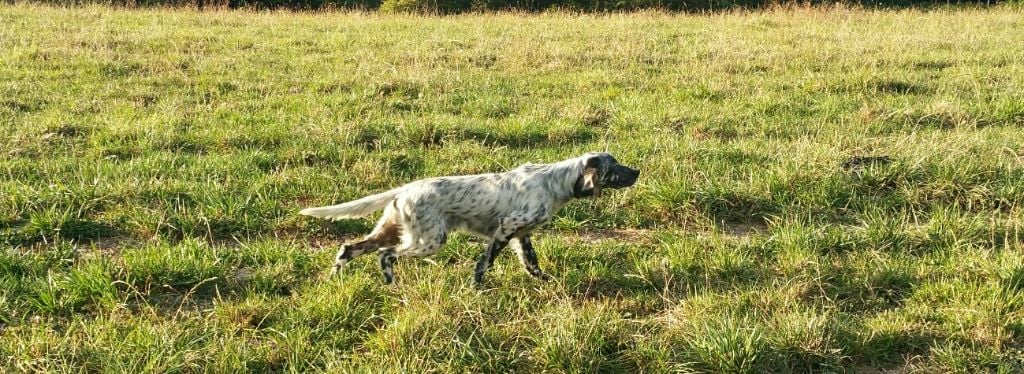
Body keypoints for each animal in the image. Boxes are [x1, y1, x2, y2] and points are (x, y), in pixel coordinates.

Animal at [299, 150, 638, 282]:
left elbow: (532, 263)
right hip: (429, 240)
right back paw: (390, 281)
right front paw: (478, 286)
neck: (555, 181)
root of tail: (404, 189)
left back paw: (335, 278)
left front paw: (546, 280)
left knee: (349, 247)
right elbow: (485, 262)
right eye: (616, 167)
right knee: (387, 254)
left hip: (391, 229)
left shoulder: (522, 235)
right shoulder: (506, 228)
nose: (637, 171)